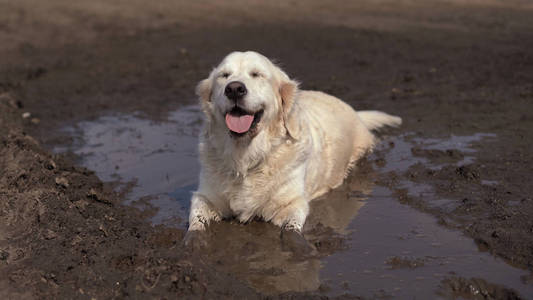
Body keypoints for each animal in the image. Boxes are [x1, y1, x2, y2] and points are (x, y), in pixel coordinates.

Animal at [187, 51, 400, 237]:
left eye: (257, 74)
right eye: (224, 76)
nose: (234, 89)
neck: (246, 157)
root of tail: (355, 112)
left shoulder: (293, 203)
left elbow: (291, 229)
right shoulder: (205, 196)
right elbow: (196, 222)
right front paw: (193, 243)